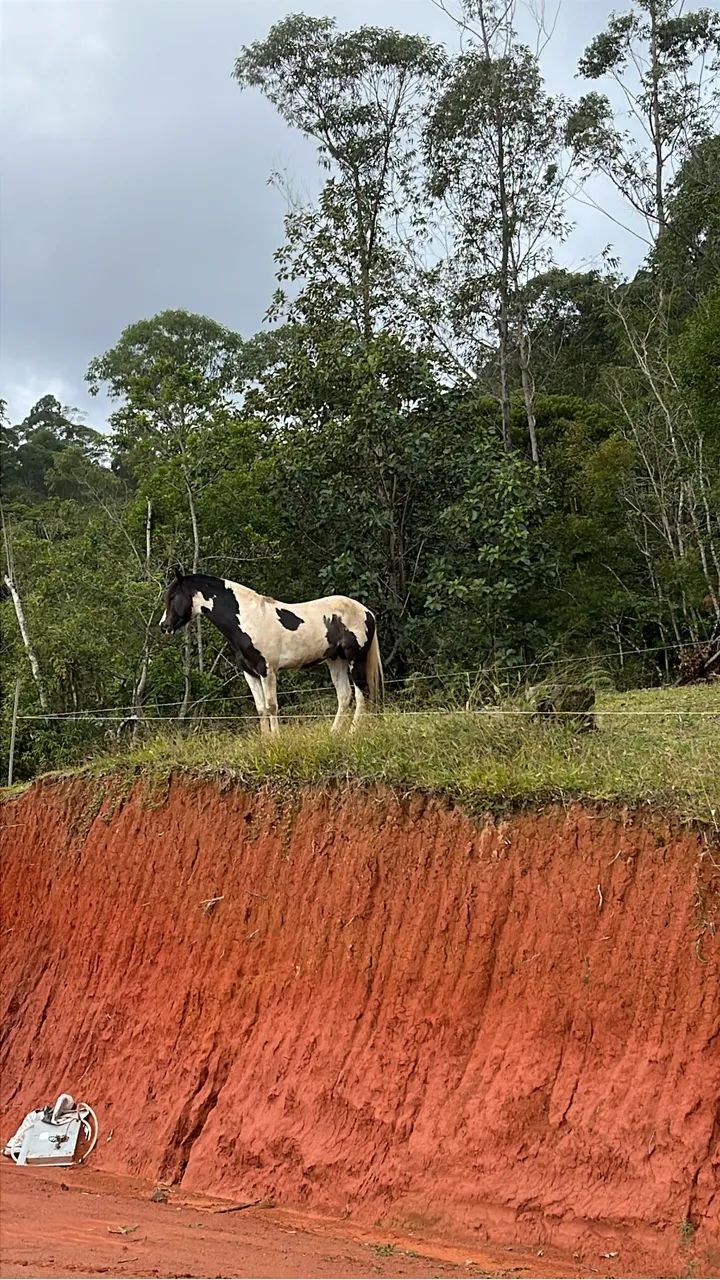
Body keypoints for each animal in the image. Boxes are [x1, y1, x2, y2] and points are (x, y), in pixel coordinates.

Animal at [159, 568, 383, 734]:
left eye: (173, 596)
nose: (164, 626)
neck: (248, 618)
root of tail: (366, 611)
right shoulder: (249, 672)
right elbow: (260, 708)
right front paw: (265, 740)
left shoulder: (267, 670)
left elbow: (271, 705)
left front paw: (276, 739)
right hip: (336, 660)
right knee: (344, 696)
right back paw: (334, 733)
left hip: (355, 660)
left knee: (362, 695)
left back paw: (353, 732)